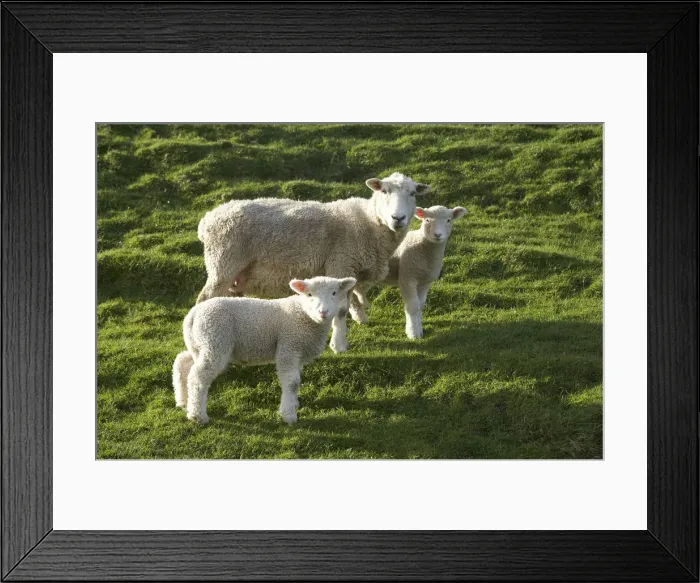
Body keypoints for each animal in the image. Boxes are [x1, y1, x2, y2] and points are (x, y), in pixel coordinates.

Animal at [173, 276, 357, 426]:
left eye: (334, 293)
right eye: (310, 294)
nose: (323, 311)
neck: (305, 315)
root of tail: (193, 314)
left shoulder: (297, 351)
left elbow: (295, 380)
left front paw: (293, 403)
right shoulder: (288, 347)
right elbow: (292, 382)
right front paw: (288, 415)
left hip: (200, 344)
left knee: (183, 362)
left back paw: (183, 400)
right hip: (215, 341)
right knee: (198, 376)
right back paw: (198, 416)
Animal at [195, 172, 431, 353]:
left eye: (412, 193)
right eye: (384, 191)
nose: (398, 218)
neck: (371, 223)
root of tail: (208, 219)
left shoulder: (350, 270)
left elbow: (353, 300)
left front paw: (355, 322)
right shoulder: (340, 264)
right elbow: (341, 309)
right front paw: (339, 345)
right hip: (223, 263)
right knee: (203, 299)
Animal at [382, 205, 467, 339]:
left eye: (448, 220)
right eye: (427, 220)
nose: (438, 234)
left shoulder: (425, 282)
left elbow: (420, 305)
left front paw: (419, 328)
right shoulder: (407, 277)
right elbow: (413, 306)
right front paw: (413, 333)